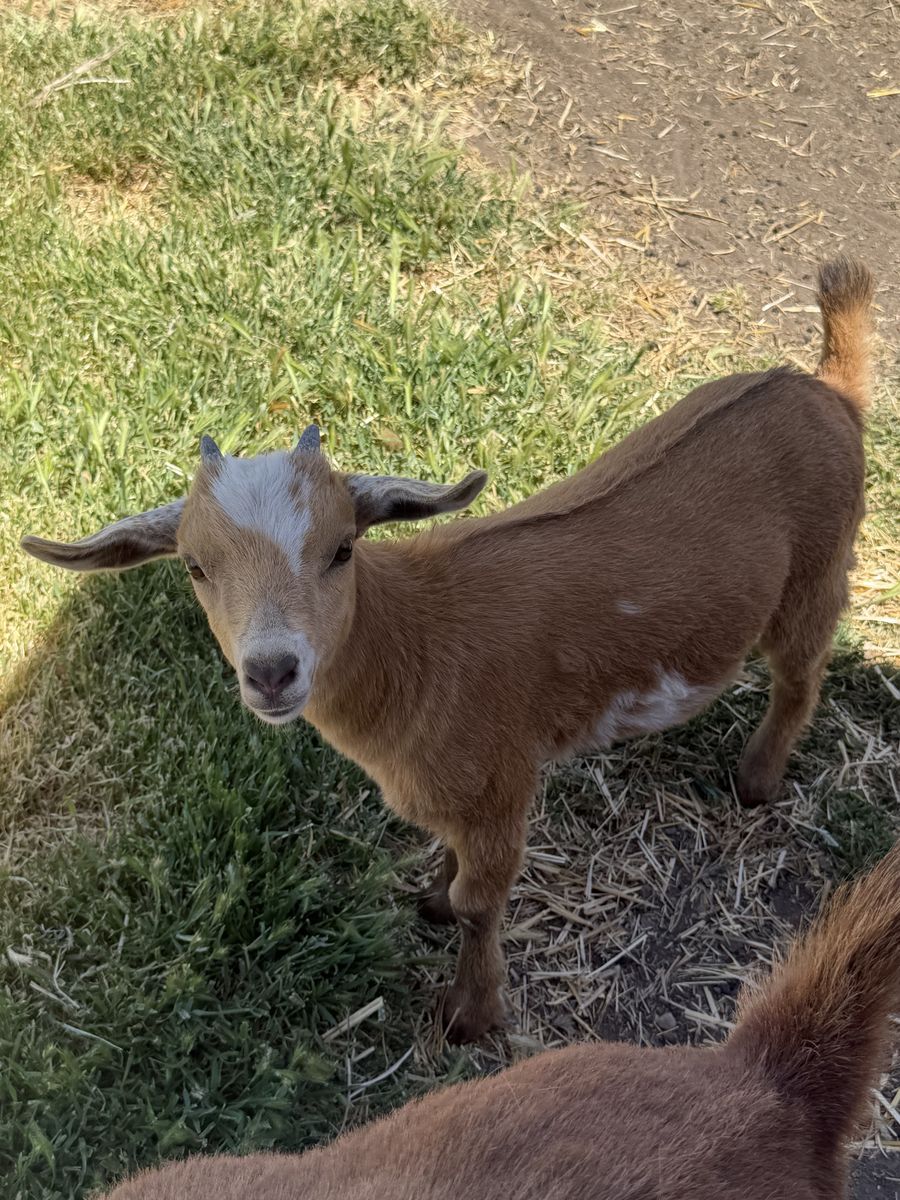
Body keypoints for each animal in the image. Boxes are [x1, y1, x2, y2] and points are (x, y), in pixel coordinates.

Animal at [21, 257, 874, 1042]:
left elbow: (480, 904)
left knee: (801, 675)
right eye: (195, 567)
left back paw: (756, 782)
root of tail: (827, 389)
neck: (417, 643)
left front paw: (470, 1013)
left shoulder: (502, 783)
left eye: (342, 549)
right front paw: (431, 899)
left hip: (818, 569)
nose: (272, 671)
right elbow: (449, 866)